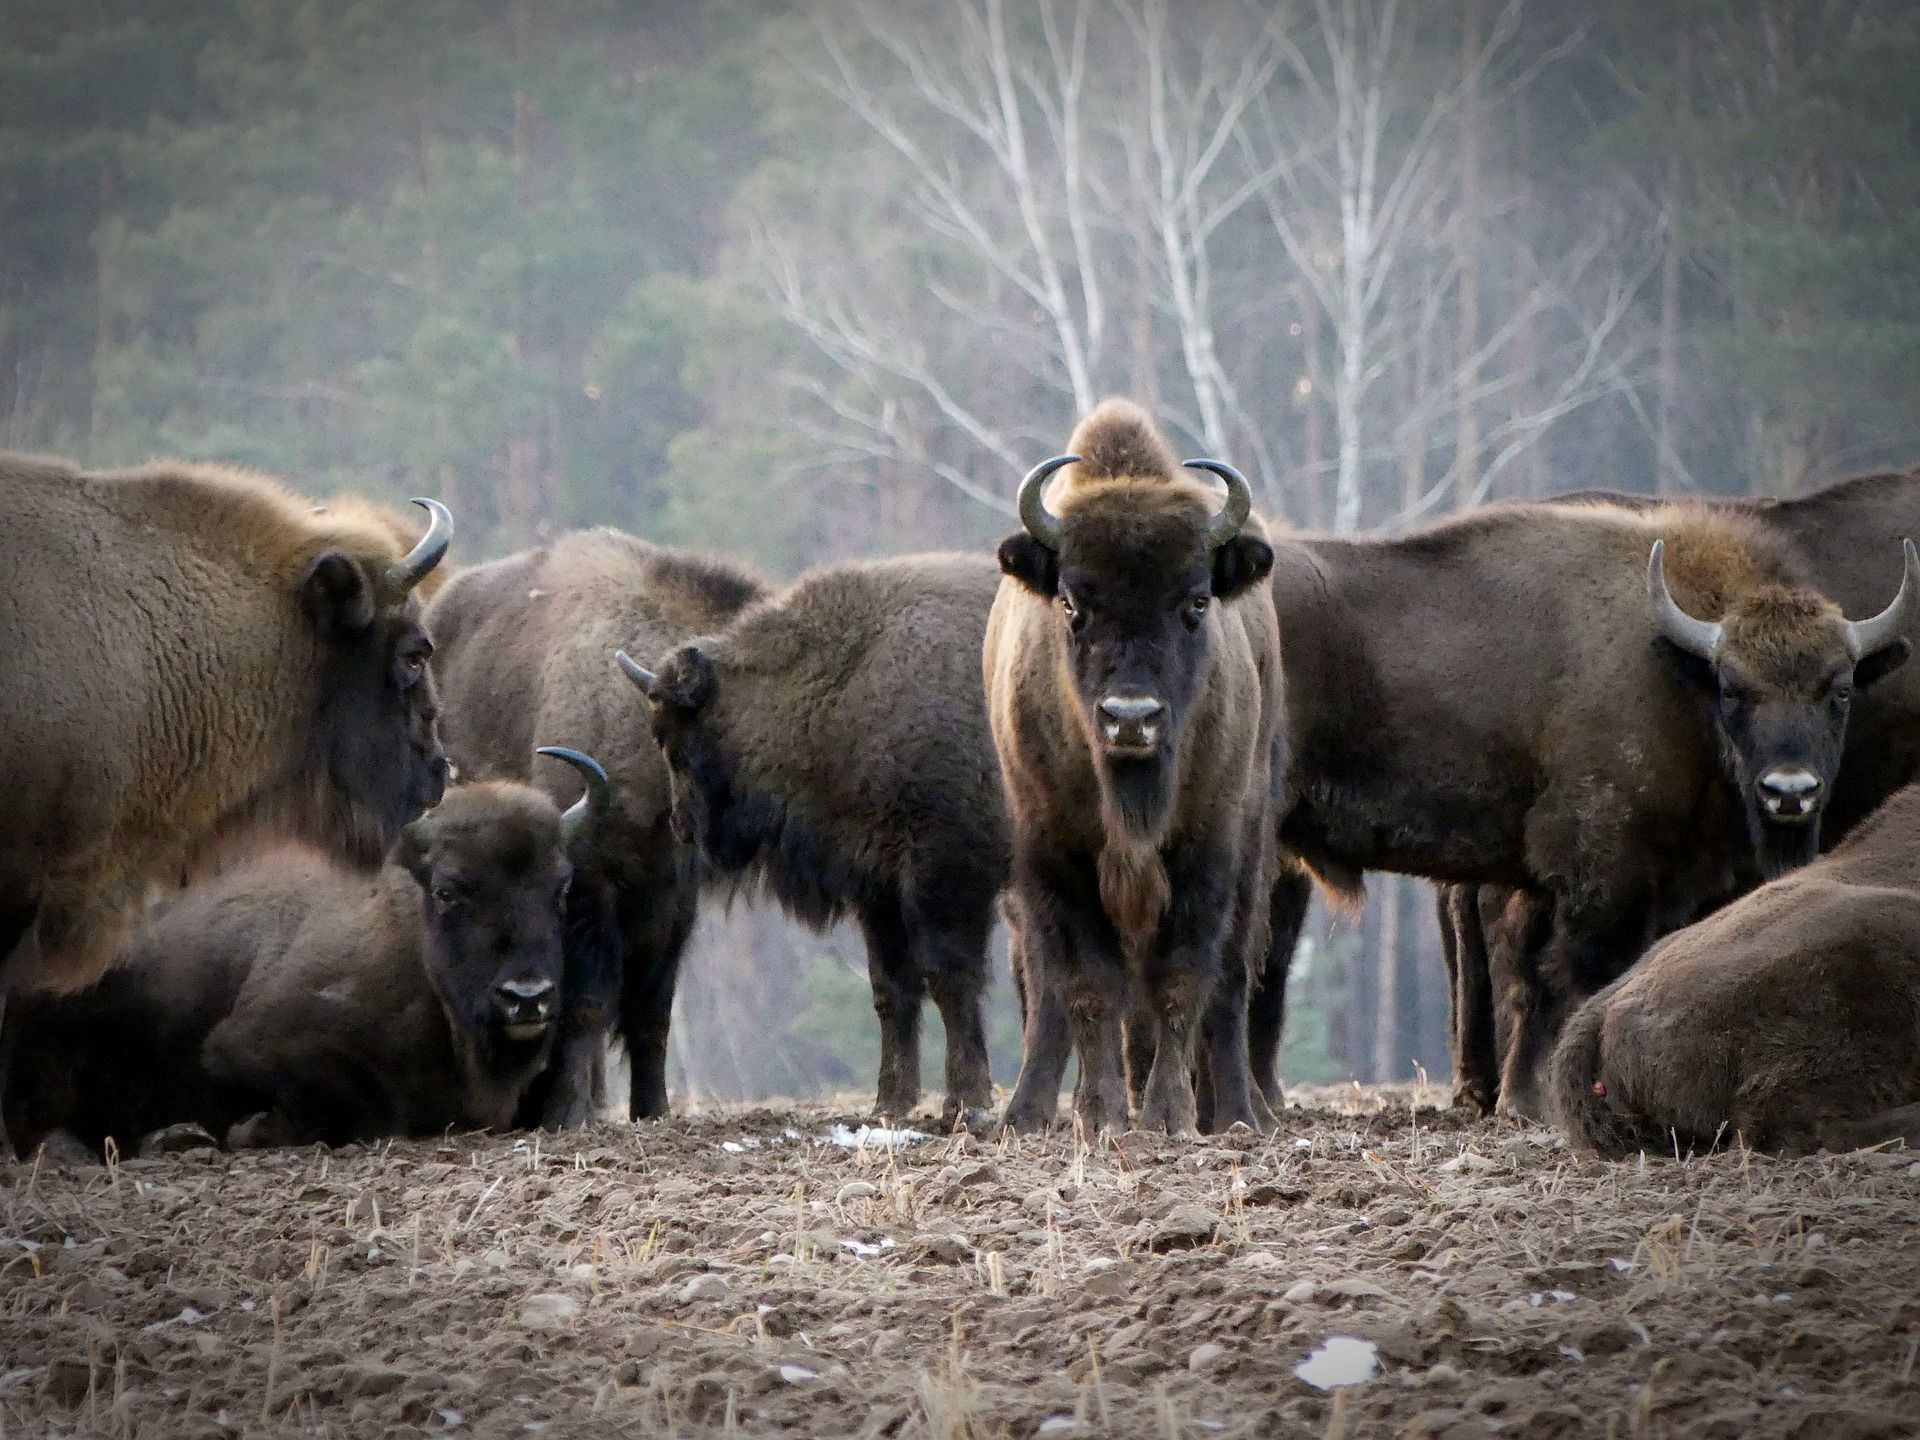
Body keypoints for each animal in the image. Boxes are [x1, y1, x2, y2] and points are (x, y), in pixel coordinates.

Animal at [3, 751, 611, 1155]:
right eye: (447, 890)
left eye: (560, 888)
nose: (526, 997)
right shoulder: (248, 1043)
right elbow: (367, 1108)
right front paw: (246, 1130)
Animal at [426, 530, 766, 1121]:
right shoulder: (588, 884)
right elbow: (585, 1004)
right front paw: (567, 1115)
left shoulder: (671, 898)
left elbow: (652, 1015)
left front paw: (653, 1111)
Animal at [619, 553, 1005, 1130]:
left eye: (674, 743)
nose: (682, 825)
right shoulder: (879, 887)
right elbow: (891, 988)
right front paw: (890, 1104)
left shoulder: (946, 875)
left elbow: (950, 977)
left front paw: (968, 1106)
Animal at [986, 399, 1284, 1136]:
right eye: (1071, 603)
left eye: (1196, 602)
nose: (1130, 718)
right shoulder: (1055, 850)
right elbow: (1087, 985)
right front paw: (1102, 1117)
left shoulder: (1206, 846)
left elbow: (1183, 979)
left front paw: (1170, 1116)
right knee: (1052, 992)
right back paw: (1027, 1114)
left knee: (1231, 981)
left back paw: (1239, 1113)